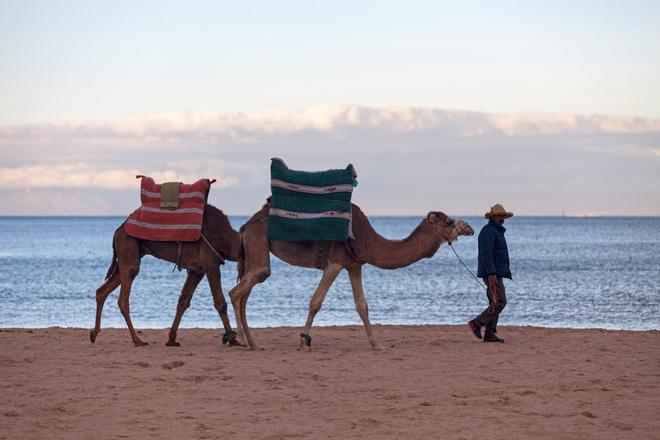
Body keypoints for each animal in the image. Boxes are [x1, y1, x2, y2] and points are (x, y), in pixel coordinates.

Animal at [229, 203, 472, 350]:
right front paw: (303, 342)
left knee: (245, 294)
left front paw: (376, 344)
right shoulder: (335, 262)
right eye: (448, 221)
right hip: (258, 245)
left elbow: (362, 305)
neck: (366, 240)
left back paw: (252, 342)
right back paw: (241, 340)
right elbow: (316, 302)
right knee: (237, 292)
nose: (469, 228)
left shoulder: (354, 265)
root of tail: (245, 226)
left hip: (254, 253)